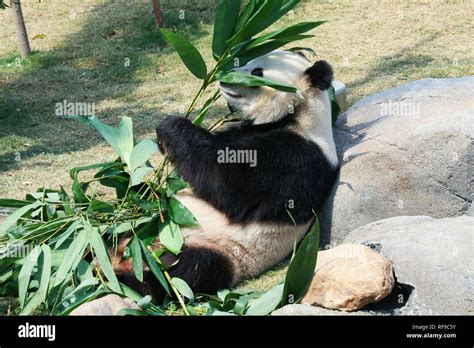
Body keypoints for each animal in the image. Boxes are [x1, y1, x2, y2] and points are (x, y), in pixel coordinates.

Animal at [114, 49, 336, 302]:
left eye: (257, 72)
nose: (224, 75)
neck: (299, 114)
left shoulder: (295, 159)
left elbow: (224, 181)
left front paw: (171, 125)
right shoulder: (245, 130)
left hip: (214, 248)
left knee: (185, 269)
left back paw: (126, 278)